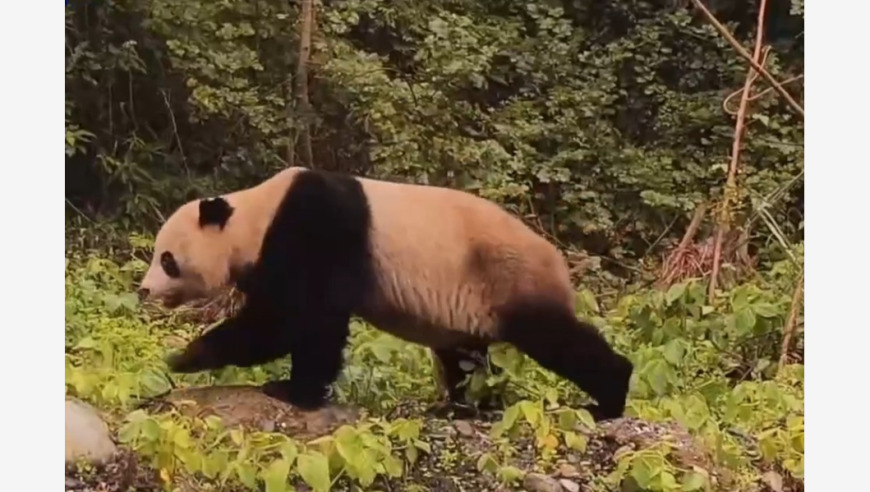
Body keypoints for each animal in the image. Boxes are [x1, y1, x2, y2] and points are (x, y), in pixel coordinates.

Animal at [141, 167, 632, 420]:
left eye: (167, 259)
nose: (144, 290)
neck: (253, 216)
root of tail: (558, 259)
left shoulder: (318, 227)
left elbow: (300, 319)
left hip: (509, 277)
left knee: (557, 339)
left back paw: (607, 399)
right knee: (466, 359)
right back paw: (464, 407)